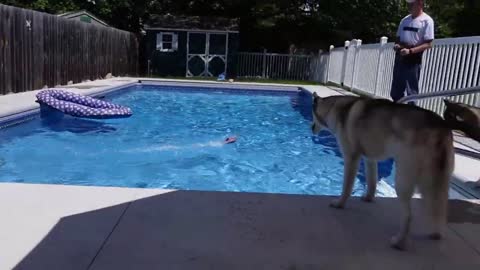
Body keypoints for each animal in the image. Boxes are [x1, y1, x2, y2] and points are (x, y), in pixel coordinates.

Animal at [312, 92, 454, 249]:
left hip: (403, 180)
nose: (311, 128)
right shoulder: (370, 159)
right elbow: (372, 181)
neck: (334, 107)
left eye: (312, 113)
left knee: (409, 216)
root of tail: (439, 128)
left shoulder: (351, 158)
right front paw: (368, 198)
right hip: (435, 183)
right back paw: (436, 233)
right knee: (439, 208)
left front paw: (340, 204)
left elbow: (346, 188)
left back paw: (399, 242)